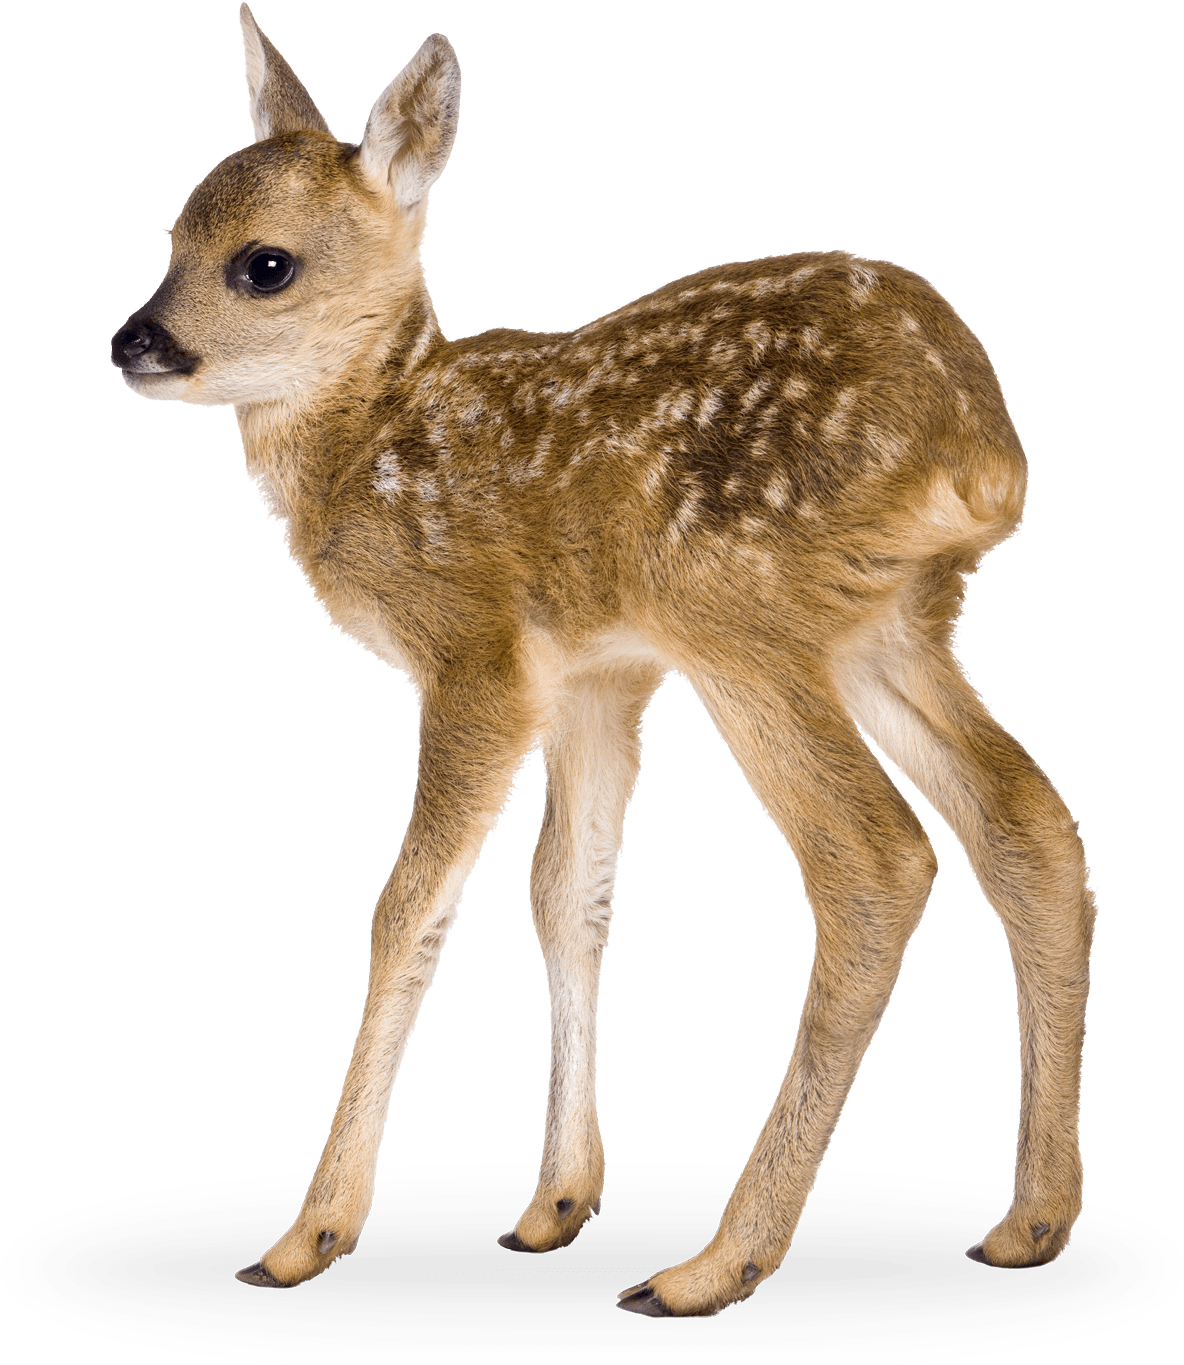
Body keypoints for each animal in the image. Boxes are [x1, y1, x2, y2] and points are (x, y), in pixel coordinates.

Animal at [110, 5, 1096, 1317]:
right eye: (170, 235)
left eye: (262, 264)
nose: (133, 342)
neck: (377, 442)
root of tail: (980, 451)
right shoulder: (598, 672)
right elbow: (566, 892)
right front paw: (553, 1207)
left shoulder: (476, 655)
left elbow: (410, 906)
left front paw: (307, 1236)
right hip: (887, 623)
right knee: (1024, 823)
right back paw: (1026, 1221)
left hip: (736, 606)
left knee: (874, 859)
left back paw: (712, 1265)